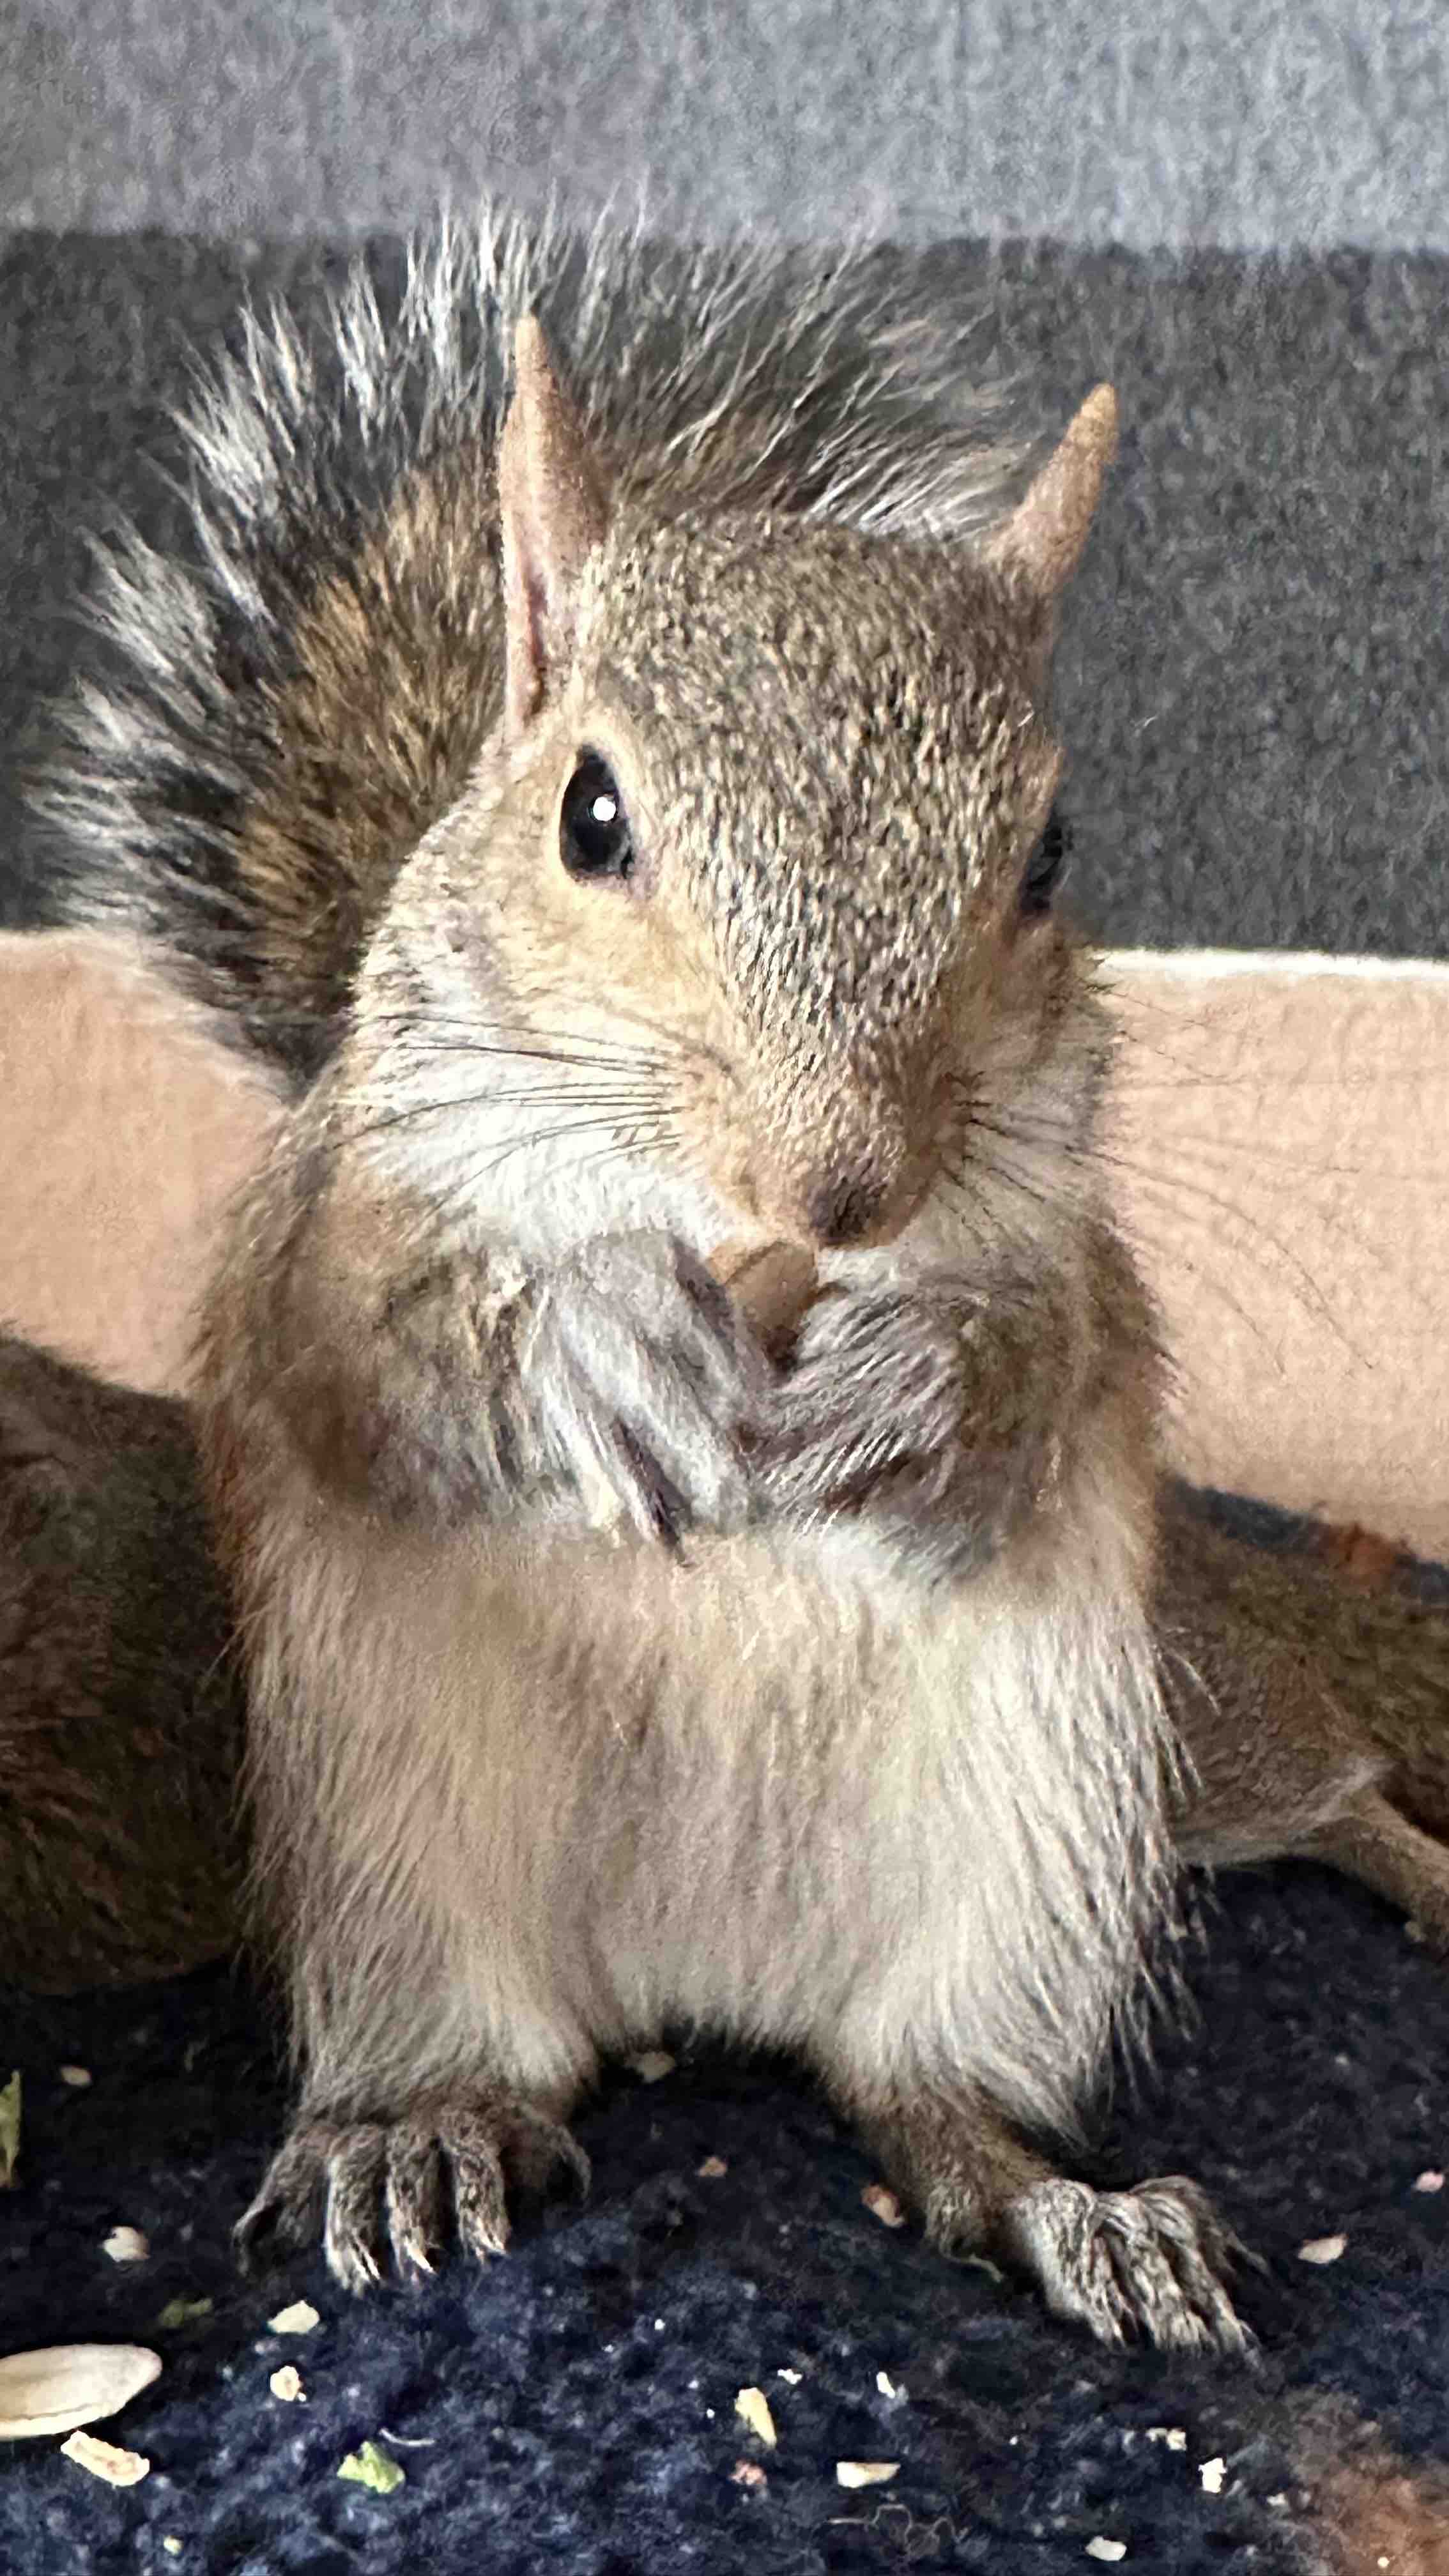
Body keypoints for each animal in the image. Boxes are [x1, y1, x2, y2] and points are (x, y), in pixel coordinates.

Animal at [12, 209, 1449, 2350]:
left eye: (1049, 855)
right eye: (588, 814)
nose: (834, 1188)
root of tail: (701, 1990)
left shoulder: (1077, 1261)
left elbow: (1046, 1371)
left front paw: (916, 1380)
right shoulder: (319, 1236)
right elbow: (384, 1357)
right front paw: (598, 1342)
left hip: (1041, 1860)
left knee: (958, 2083)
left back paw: (1083, 2190)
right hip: (399, 1870)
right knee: (509, 2061)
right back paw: (416, 2137)